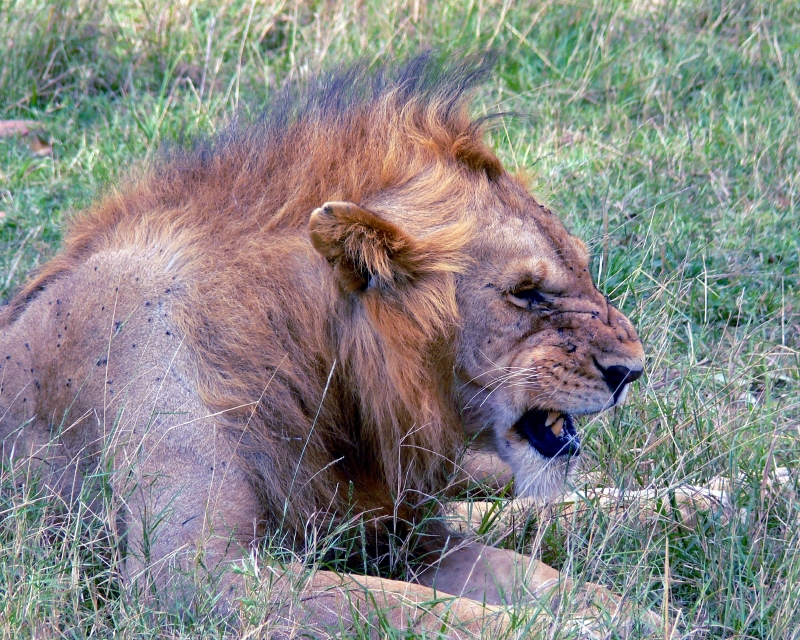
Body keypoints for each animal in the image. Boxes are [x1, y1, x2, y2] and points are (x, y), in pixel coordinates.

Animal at [0, 54, 649, 636]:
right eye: (526, 292)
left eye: (583, 268)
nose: (632, 371)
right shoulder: (195, 576)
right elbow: (417, 610)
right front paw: (593, 627)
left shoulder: (407, 535)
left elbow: (542, 580)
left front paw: (631, 612)